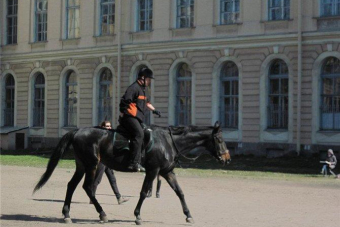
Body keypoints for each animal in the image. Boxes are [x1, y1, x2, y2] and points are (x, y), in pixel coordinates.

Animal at [33, 121, 231, 224]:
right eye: (220, 140)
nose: (227, 158)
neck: (167, 142)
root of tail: (77, 131)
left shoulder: (167, 172)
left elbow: (180, 192)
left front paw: (188, 215)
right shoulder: (153, 170)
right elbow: (143, 192)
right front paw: (137, 215)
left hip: (82, 165)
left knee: (72, 186)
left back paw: (67, 214)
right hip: (91, 165)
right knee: (88, 187)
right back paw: (102, 213)